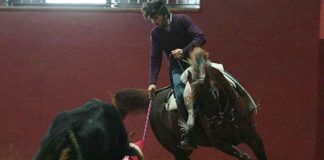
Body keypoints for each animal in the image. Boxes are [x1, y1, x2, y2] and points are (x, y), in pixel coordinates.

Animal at [112, 52, 268, 160]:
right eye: (194, 101)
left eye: (214, 93)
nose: (212, 126)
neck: (228, 115)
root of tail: (155, 96)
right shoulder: (218, 143)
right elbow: (239, 153)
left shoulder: (254, 138)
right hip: (178, 151)